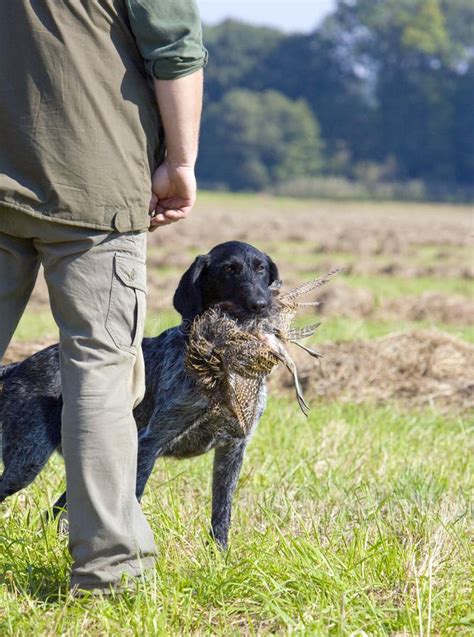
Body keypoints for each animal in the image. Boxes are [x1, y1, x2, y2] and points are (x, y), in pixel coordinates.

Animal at [0, 238, 280, 548]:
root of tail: (18, 366)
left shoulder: (232, 449)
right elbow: (133, 499)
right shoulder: (148, 444)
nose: (261, 304)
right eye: (229, 270)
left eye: (261, 268)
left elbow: (222, 511)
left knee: (55, 513)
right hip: (26, 460)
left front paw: (219, 554)